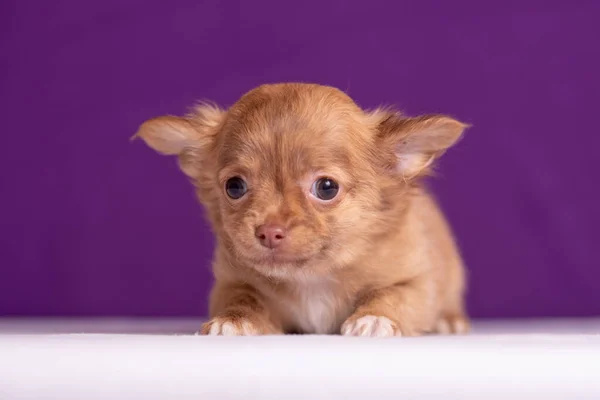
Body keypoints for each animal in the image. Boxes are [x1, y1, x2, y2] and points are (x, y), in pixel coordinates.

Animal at [135, 83, 468, 336]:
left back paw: (449, 321)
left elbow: (394, 295)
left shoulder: (417, 282)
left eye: (326, 188)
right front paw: (233, 320)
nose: (269, 232)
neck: (312, 277)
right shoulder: (232, 282)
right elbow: (243, 298)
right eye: (234, 187)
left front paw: (375, 318)